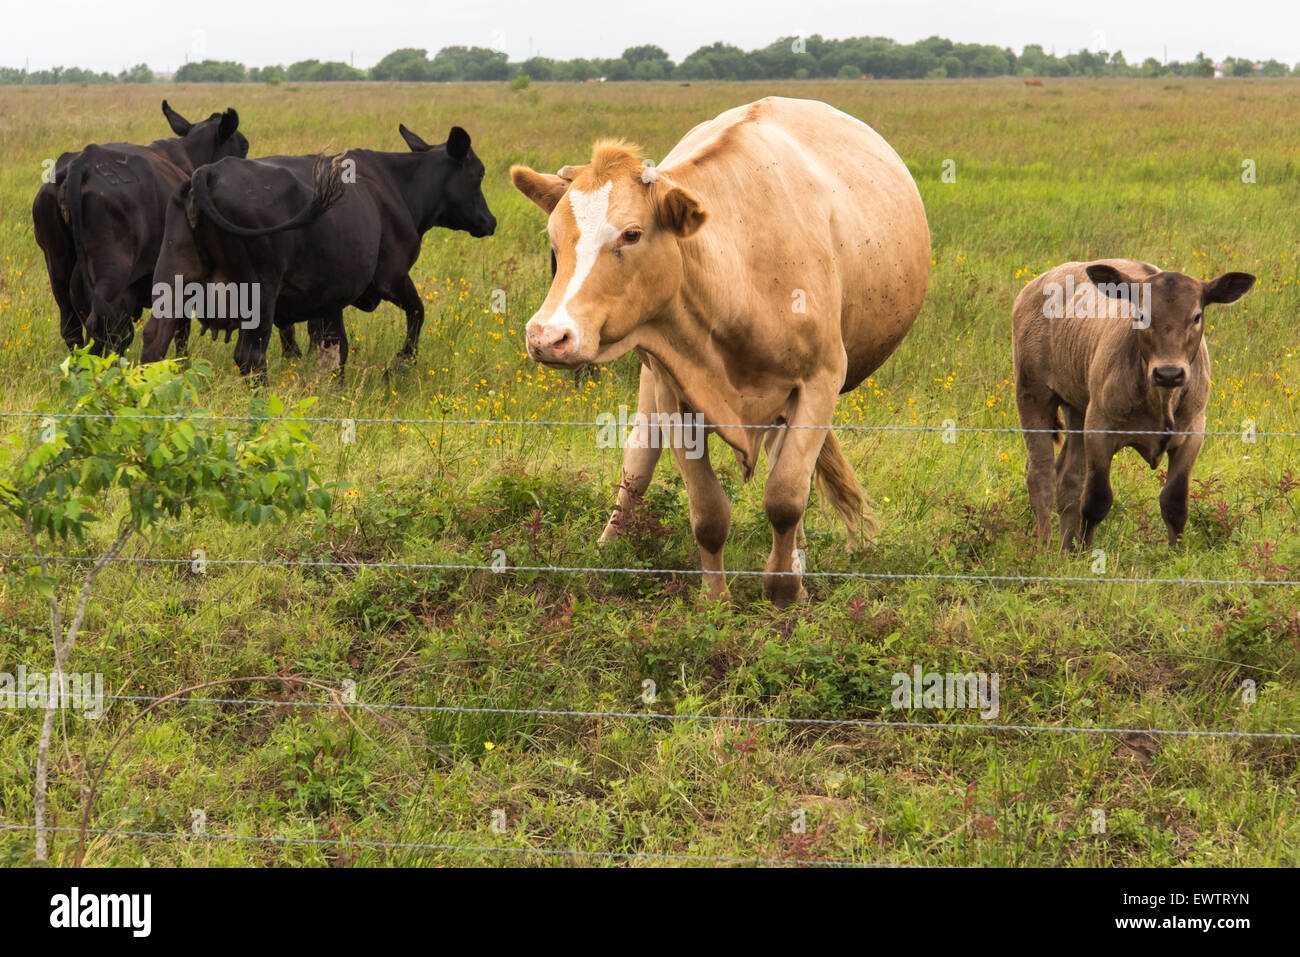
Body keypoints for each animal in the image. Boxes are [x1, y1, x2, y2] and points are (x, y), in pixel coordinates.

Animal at [32, 101, 248, 356]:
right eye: (244, 146)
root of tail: (82, 161)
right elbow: (181, 332)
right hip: (112, 271)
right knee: (98, 326)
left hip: (57, 263)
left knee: (72, 326)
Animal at [140, 124, 497, 377]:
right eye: (479, 173)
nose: (490, 221)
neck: (398, 188)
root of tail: (209, 172)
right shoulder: (392, 277)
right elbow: (417, 312)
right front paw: (399, 365)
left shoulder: (329, 296)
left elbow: (335, 347)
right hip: (260, 290)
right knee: (250, 355)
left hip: (173, 275)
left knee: (155, 341)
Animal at [510, 97, 930, 605]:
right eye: (554, 240)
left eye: (631, 234)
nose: (547, 336)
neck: (738, 276)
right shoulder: (675, 393)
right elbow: (708, 512)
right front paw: (716, 600)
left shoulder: (820, 381)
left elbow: (786, 495)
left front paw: (784, 588)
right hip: (652, 377)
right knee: (639, 456)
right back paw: (609, 545)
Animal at [1012, 259, 1255, 551]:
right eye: (1141, 315)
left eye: (1196, 316)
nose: (1169, 373)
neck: (1161, 398)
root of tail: (1040, 282)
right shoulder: (1099, 430)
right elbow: (1096, 500)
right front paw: (1085, 553)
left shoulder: (1193, 434)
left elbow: (1175, 503)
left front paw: (1175, 555)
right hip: (1032, 394)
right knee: (1042, 475)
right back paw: (1046, 547)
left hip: (1077, 408)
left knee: (1068, 479)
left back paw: (1065, 549)